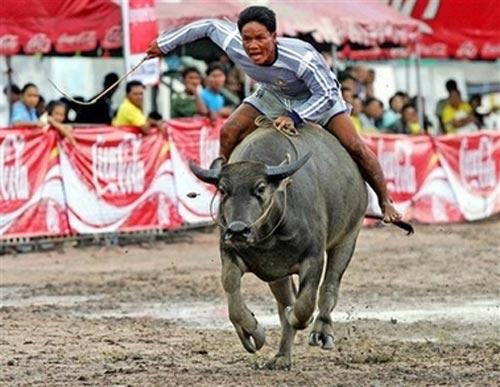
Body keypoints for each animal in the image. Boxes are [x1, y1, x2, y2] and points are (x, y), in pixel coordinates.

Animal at [189, 117, 370, 370]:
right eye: (223, 190)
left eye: (260, 188)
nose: (238, 230)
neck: (269, 235)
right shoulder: (232, 255)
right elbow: (233, 295)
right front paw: (252, 331)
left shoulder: (314, 257)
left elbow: (304, 305)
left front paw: (298, 316)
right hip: (278, 275)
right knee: (286, 302)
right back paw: (282, 356)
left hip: (348, 236)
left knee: (330, 286)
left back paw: (322, 331)